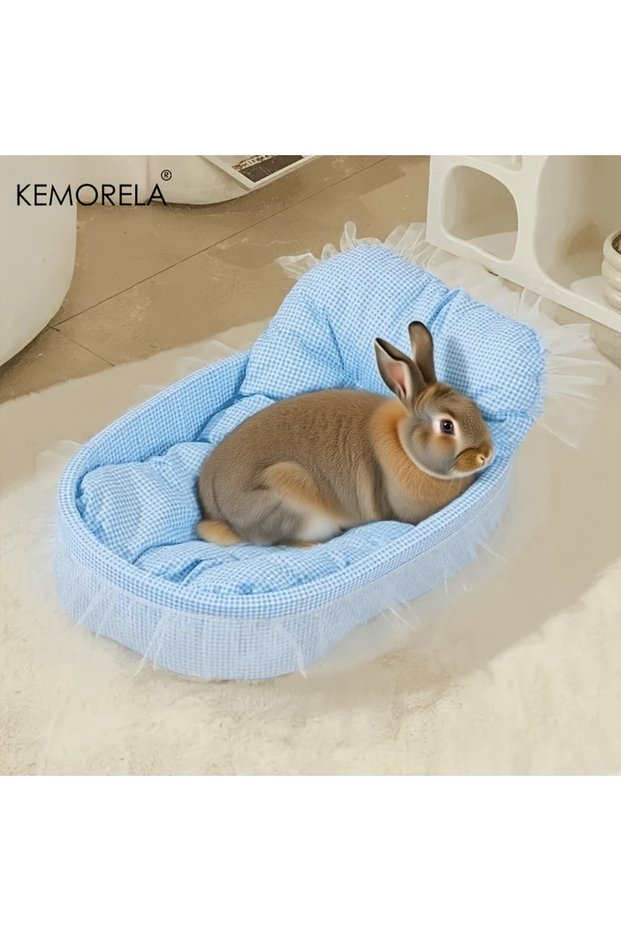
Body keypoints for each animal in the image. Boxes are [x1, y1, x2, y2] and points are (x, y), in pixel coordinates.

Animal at [196, 321, 493, 547]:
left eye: (472, 404)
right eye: (447, 426)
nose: (486, 455)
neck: (404, 443)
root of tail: (216, 514)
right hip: (288, 491)